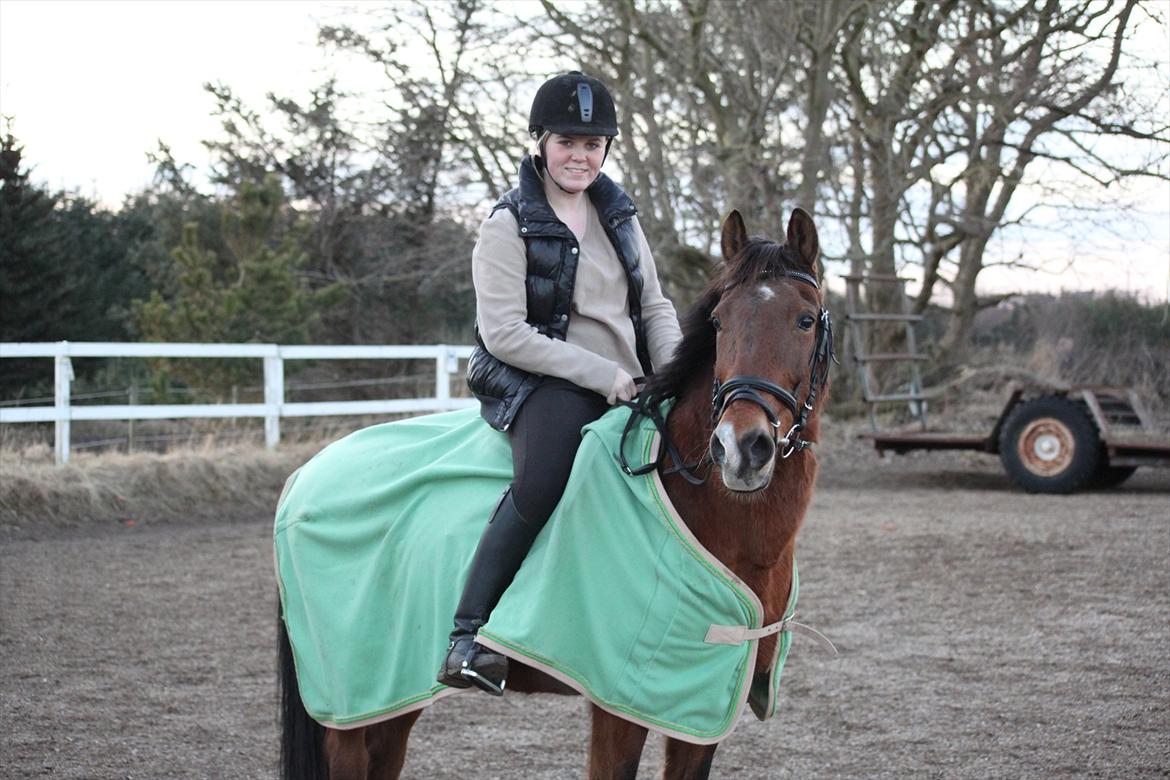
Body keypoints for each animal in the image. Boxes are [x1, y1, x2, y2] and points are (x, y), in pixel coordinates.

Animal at [277, 206, 833, 780]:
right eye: (719, 322)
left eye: (806, 319)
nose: (740, 447)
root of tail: (304, 476)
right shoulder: (620, 705)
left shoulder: (701, 707)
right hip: (350, 706)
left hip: (394, 701)